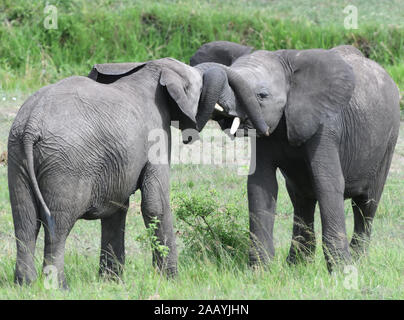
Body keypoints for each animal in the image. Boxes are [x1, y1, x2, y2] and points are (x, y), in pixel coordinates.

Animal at [10, 56, 262, 288]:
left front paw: (111, 283)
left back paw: (25, 284)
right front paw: (172, 281)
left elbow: (116, 208)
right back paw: (59, 286)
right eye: (200, 85)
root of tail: (32, 124)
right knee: (58, 225)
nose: (259, 129)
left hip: (18, 155)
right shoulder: (156, 134)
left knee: (25, 222)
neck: (152, 69)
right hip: (66, 164)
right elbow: (156, 204)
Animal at [189, 39, 400, 270]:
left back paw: (358, 260)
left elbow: (328, 182)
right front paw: (260, 271)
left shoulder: (326, 127)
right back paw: (297, 265)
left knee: (366, 203)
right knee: (302, 200)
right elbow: (261, 184)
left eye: (262, 95)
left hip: (389, 138)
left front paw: (341, 271)